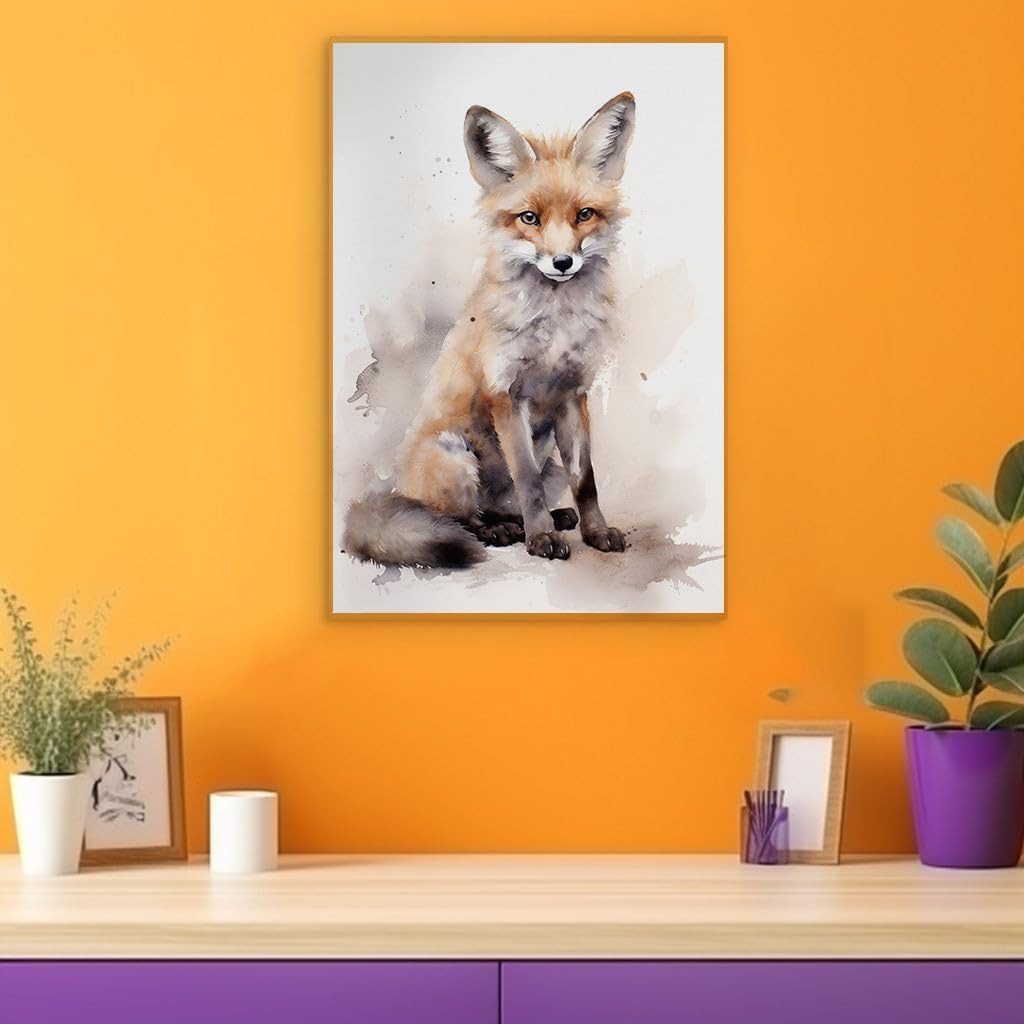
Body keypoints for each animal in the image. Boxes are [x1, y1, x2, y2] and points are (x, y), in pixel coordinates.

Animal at [344, 92, 636, 569]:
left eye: (584, 215)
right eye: (530, 218)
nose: (562, 263)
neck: (554, 327)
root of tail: (399, 490)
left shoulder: (574, 394)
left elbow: (586, 480)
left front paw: (595, 532)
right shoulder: (506, 394)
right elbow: (527, 479)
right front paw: (541, 540)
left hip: (550, 463)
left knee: (514, 500)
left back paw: (544, 520)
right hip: (454, 456)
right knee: (462, 519)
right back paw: (504, 531)